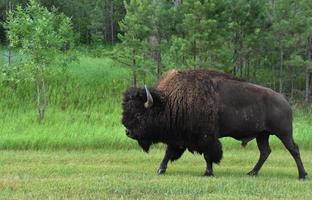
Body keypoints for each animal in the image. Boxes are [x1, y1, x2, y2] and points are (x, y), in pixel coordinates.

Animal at [121, 69, 308, 180]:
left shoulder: (206, 137)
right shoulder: (178, 138)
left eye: (139, 113)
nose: (128, 132)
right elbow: (168, 154)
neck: (169, 102)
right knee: (265, 152)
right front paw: (160, 170)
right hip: (262, 135)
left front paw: (208, 173)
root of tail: (284, 101)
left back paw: (302, 175)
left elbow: (209, 155)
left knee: (294, 150)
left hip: (283, 133)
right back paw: (252, 173)